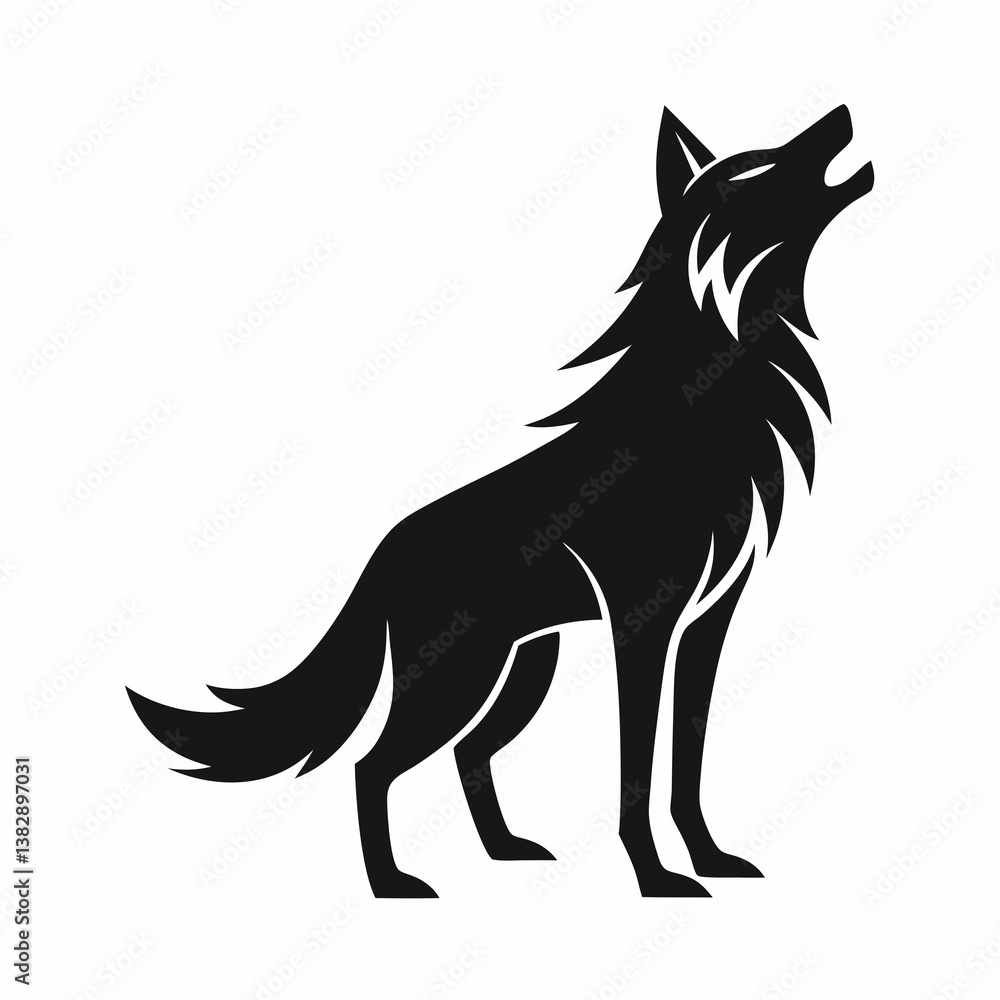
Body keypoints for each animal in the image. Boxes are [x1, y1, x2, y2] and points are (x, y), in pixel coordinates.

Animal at [128, 104, 873, 897]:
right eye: (761, 166)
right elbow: (636, 767)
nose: (841, 113)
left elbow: (686, 762)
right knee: (373, 764)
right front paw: (654, 877)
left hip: (520, 673)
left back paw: (504, 850)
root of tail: (383, 552)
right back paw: (391, 883)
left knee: (468, 753)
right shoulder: (643, 625)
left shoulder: (709, 623)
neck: (699, 411)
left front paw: (708, 860)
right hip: (460, 681)